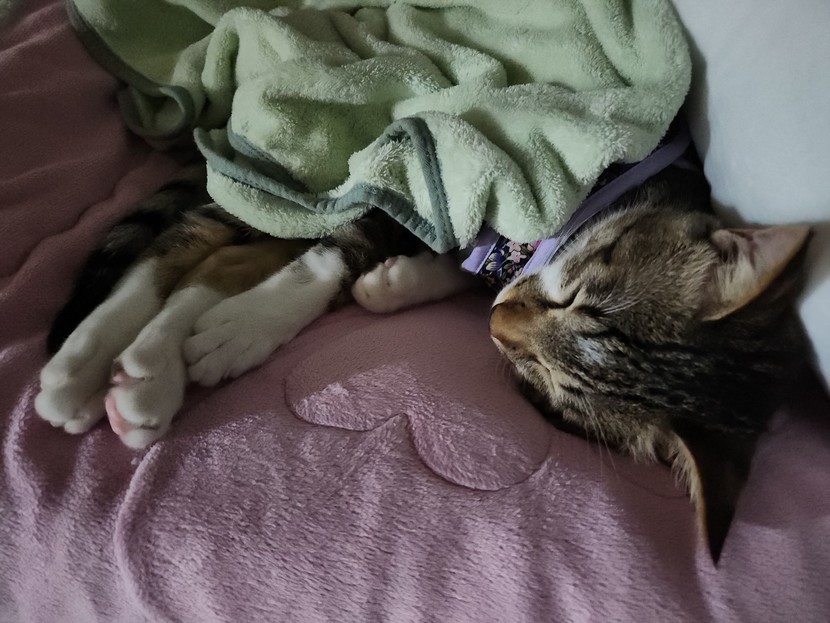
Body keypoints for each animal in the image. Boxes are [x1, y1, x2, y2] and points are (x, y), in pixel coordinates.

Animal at [35, 164, 811, 562]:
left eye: (547, 388)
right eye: (578, 294)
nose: (500, 325)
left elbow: (453, 268)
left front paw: (399, 284)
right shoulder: (402, 196)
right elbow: (337, 255)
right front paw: (255, 319)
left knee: (216, 255)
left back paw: (134, 374)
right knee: (189, 246)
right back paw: (111, 362)